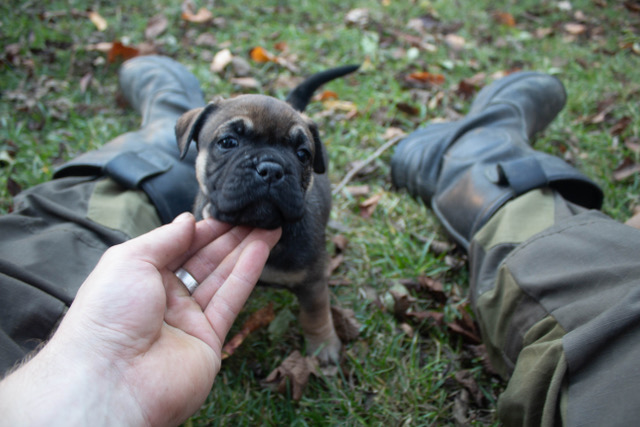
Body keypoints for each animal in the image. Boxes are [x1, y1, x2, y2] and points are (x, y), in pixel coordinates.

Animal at [172, 64, 358, 364]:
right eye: (228, 142)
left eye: (303, 154)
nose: (271, 169)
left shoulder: (313, 281)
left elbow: (316, 314)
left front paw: (323, 346)